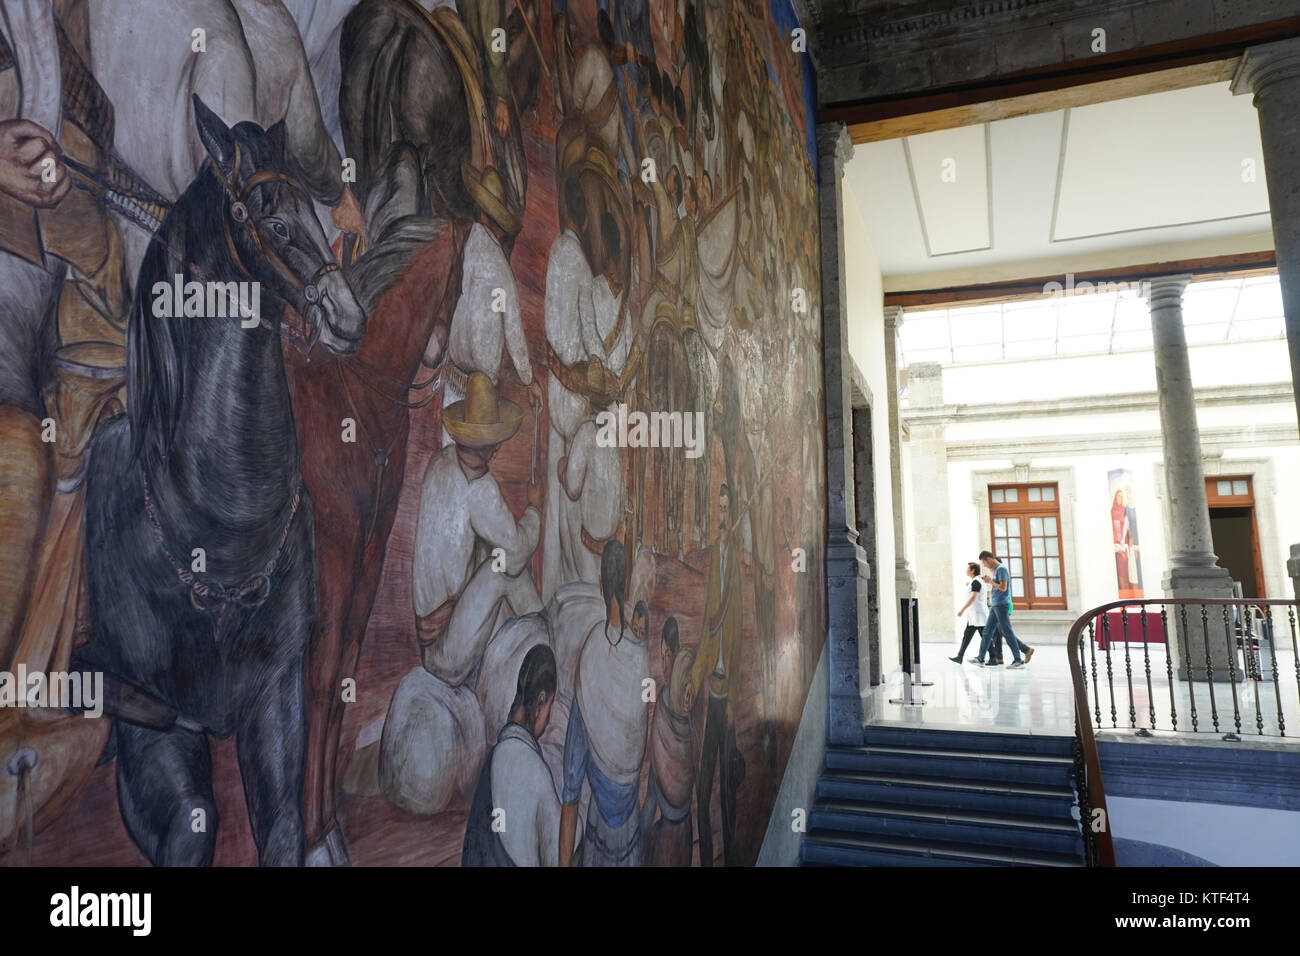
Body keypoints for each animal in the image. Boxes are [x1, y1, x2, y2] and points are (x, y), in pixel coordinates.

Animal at [76, 97, 366, 868]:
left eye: (313, 209)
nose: (347, 316)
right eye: (270, 219)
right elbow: (192, 820)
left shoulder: (278, 698)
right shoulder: (158, 728)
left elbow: (285, 827)